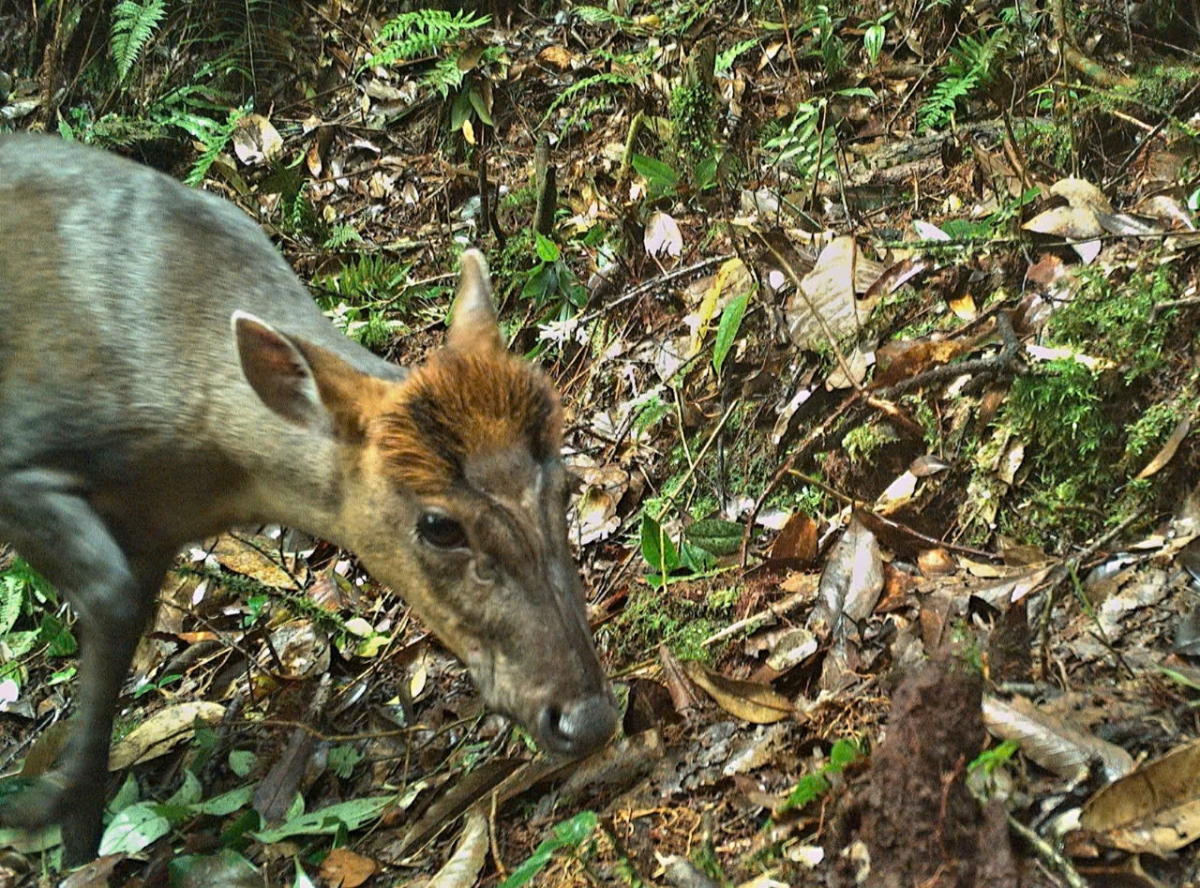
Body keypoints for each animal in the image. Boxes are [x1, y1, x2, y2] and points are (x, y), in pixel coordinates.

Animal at [0, 135, 619, 864]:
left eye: (567, 484)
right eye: (439, 526)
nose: (589, 718)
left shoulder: (154, 530)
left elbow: (119, 623)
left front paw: (77, 836)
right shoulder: (24, 446)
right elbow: (109, 596)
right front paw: (50, 818)